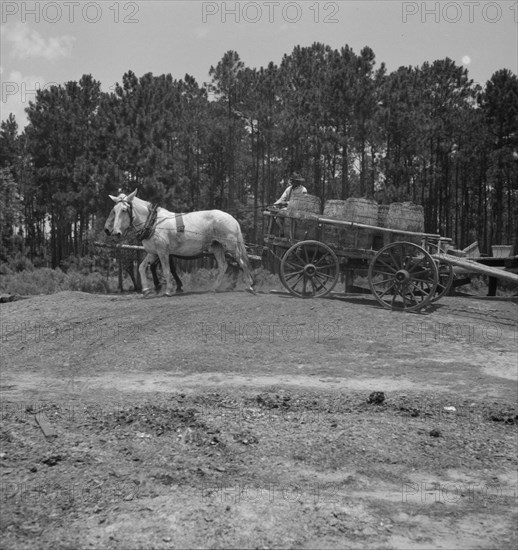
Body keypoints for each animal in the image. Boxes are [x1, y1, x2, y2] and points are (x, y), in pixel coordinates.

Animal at [104, 191, 256, 298]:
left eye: (124, 210)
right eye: (114, 210)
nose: (115, 232)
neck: (153, 223)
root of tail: (232, 218)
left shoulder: (163, 252)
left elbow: (166, 270)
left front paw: (168, 290)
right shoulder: (153, 252)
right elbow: (142, 267)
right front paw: (146, 290)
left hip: (231, 246)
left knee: (242, 263)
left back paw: (249, 286)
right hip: (216, 246)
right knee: (223, 265)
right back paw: (214, 288)